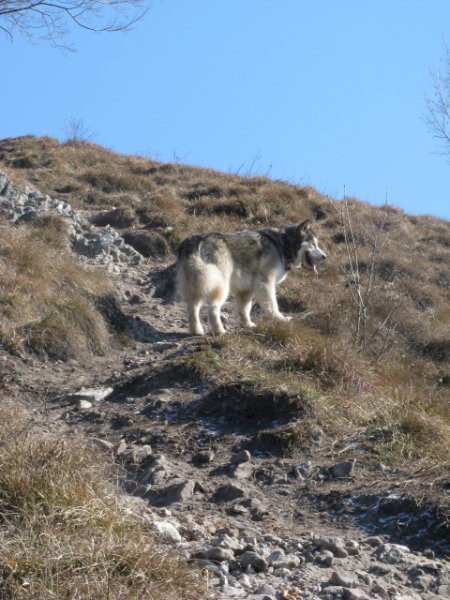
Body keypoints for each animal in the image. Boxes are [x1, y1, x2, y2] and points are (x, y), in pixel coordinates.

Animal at [177, 220, 326, 336]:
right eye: (314, 244)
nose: (325, 256)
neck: (283, 245)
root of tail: (194, 240)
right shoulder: (265, 283)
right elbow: (272, 305)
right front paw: (280, 319)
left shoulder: (246, 289)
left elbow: (244, 309)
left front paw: (247, 324)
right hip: (220, 285)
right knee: (213, 308)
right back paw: (219, 331)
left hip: (196, 287)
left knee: (192, 308)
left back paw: (196, 331)